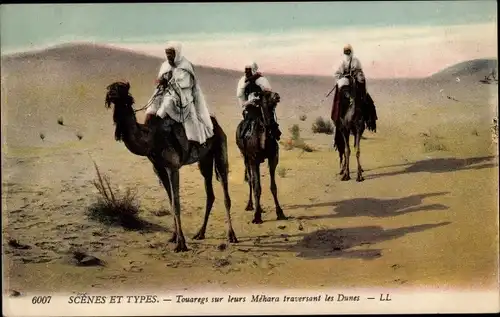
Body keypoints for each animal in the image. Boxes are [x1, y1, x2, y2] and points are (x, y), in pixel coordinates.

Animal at [104, 81, 238, 252]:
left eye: (121, 89)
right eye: (110, 88)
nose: (110, 94)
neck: (151, 139)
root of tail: (216, 124)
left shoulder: (173, 167)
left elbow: (176, 204)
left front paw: (181, 244)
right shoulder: (158, 169)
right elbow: (170, 202)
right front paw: (174, 237)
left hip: (220, 150)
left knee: (225, 191)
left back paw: (231, 236)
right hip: (205, 160)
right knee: (210, 193)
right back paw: (200, 233)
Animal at [235, 89, 288, 223]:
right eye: (266, 95)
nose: (277, 96)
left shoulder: (273, 158)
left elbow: (273, 186)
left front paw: (280, 212)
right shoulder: (254, 159)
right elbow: (257, 187)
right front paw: (257, 216)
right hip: (245, 157)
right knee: (250, 180)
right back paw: (250, 205)